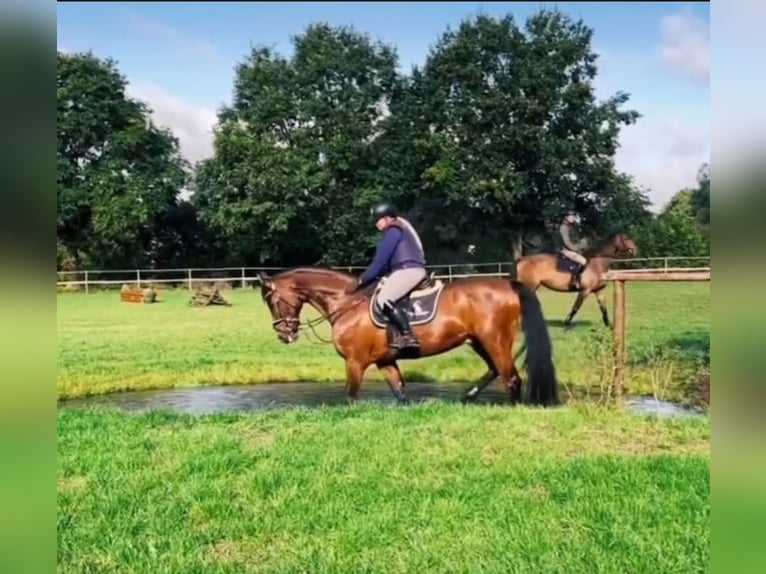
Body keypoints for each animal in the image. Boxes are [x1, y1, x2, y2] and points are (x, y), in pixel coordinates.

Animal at [255, 268, 560, 408]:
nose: (284, 334)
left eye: (270, 301)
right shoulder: (385, 362)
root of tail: (509, 285)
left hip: (494, 340)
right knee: (496, 371)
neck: (347, 302)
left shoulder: (355, 362)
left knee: (511, 378)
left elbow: (350, 396)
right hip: (478, 341)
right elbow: (400, 392)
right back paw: (467, 395)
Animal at [510, 233, 640, 328]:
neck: (596, 264)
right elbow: (576, 307)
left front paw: (609, 326)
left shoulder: (598, 291)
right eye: (626, 238)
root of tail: (521, 260)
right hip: (529, 287)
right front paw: (567, 323)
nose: (634, 250)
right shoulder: (584, 291)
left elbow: (603, 309)